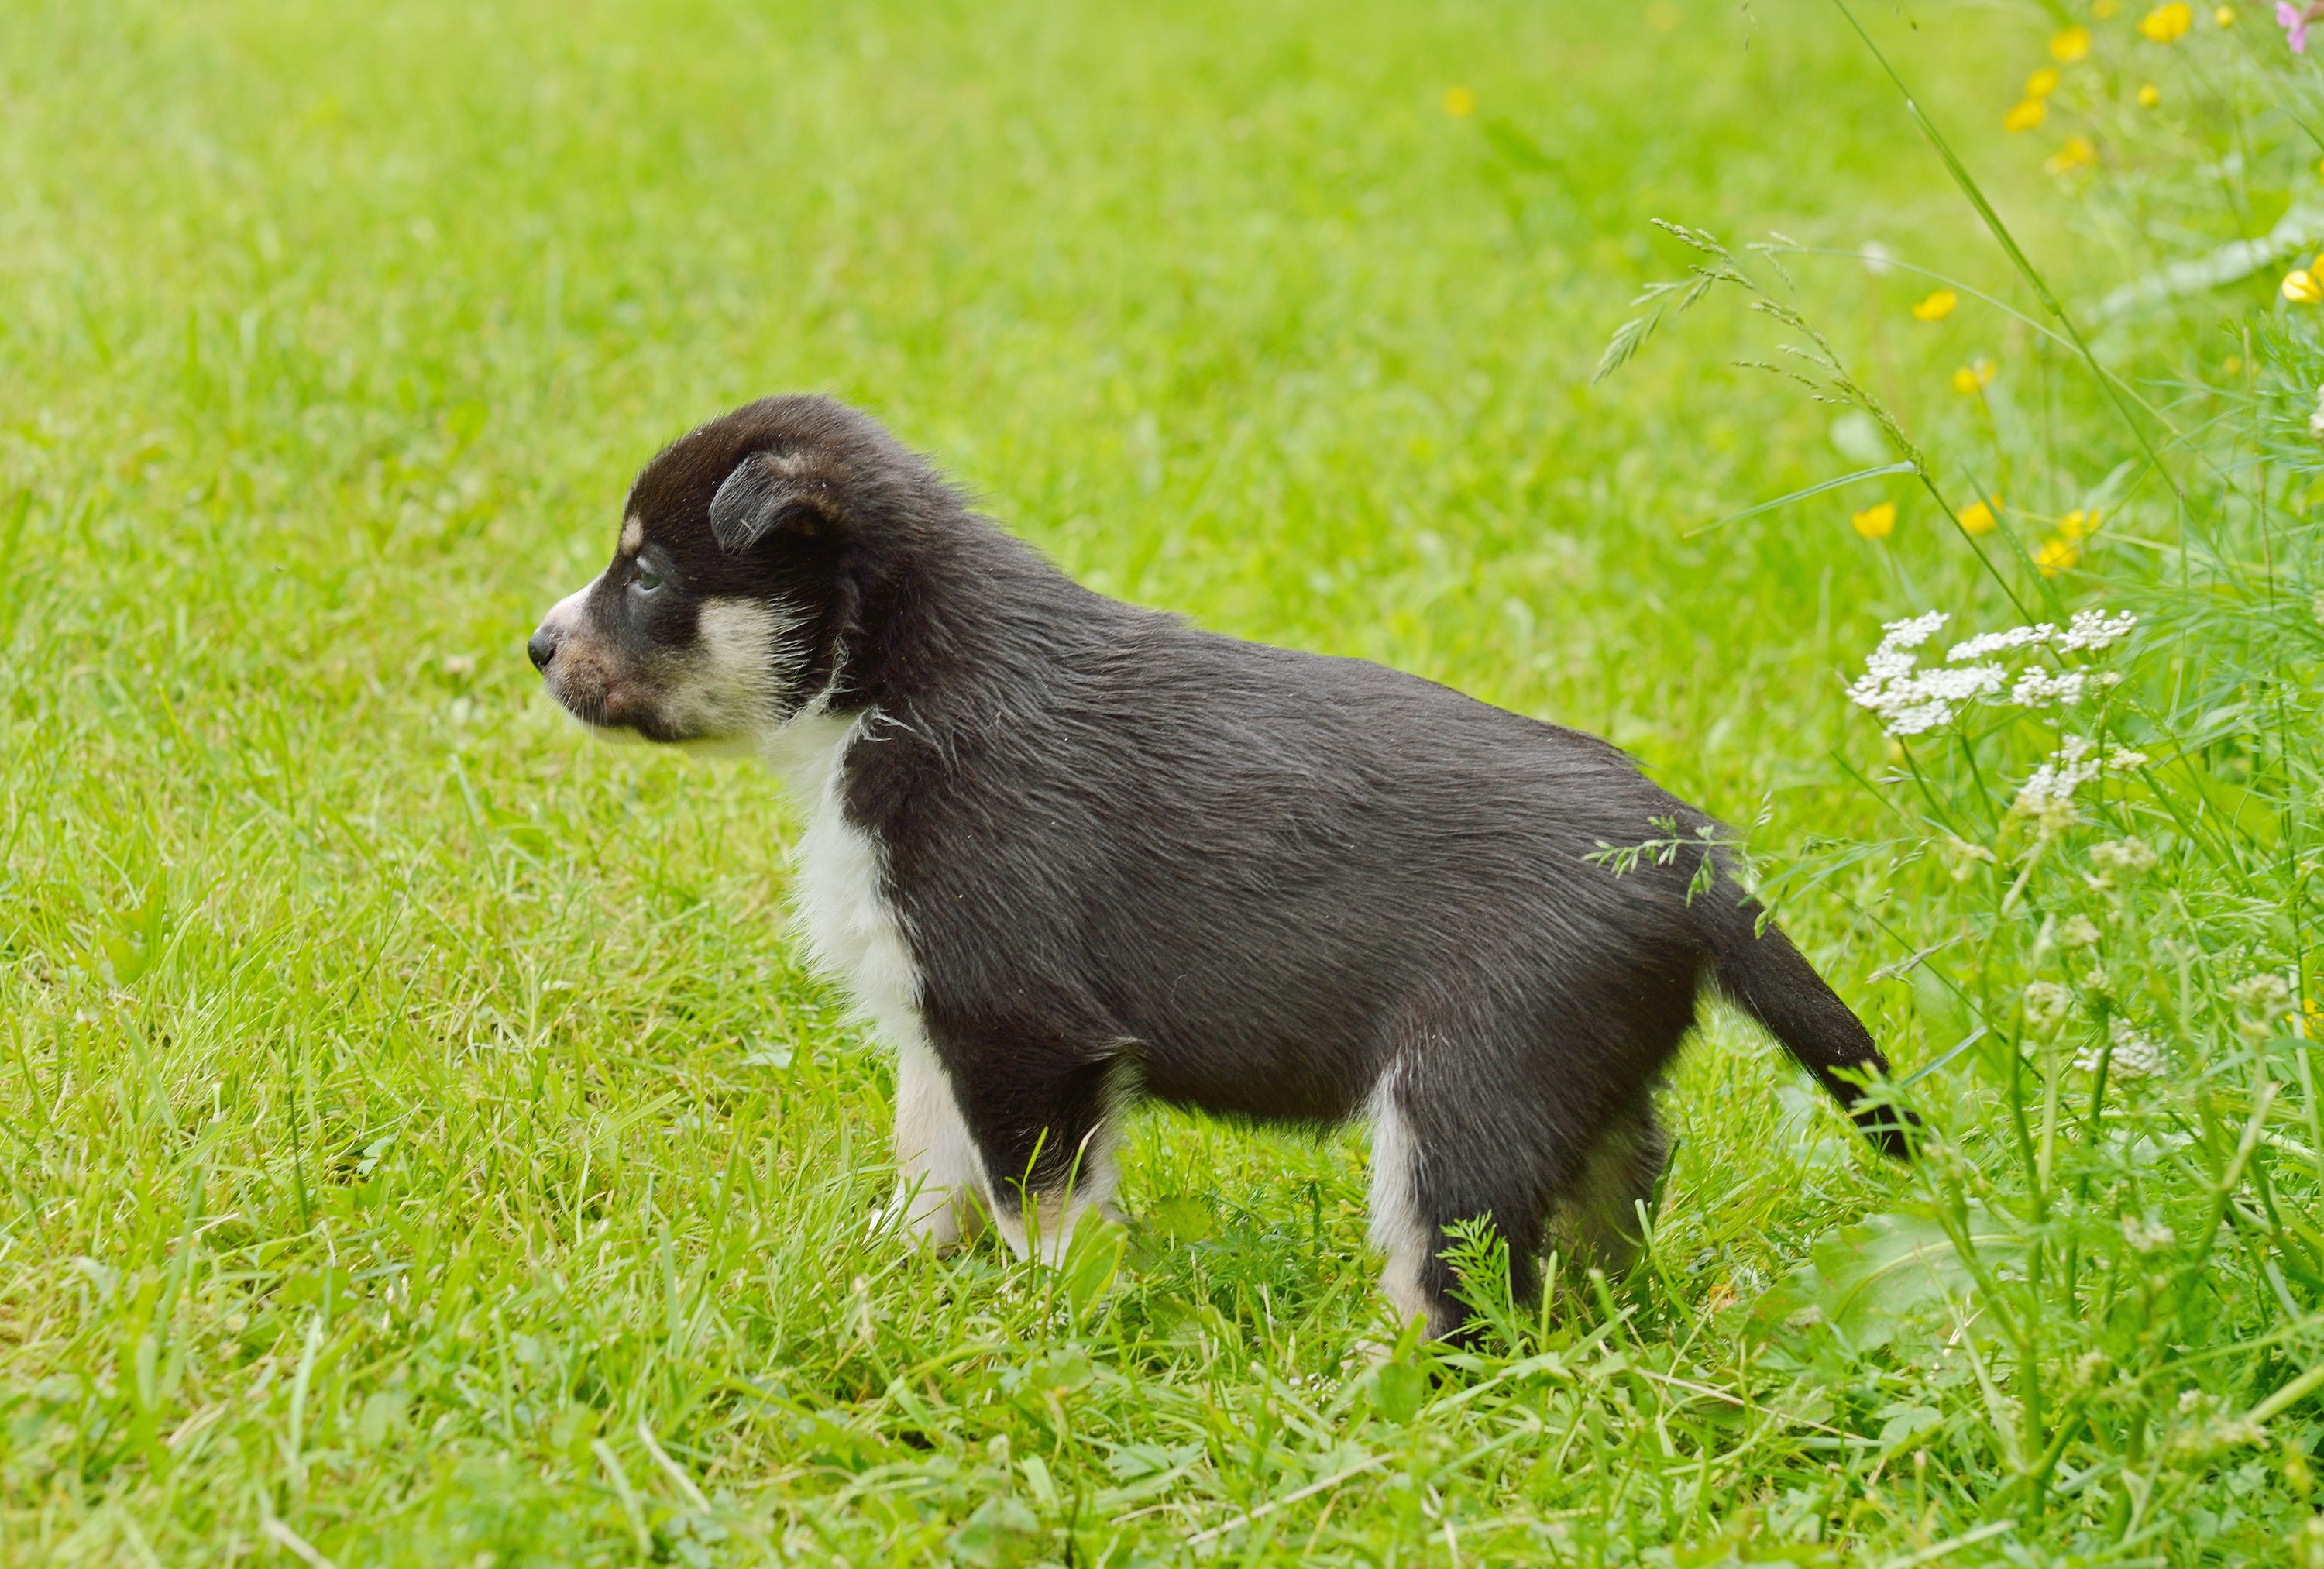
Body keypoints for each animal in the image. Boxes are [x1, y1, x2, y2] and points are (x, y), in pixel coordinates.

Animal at [535, 395, 1915, 1339]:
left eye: (646, 573)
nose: (536, 646)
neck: (890, 686)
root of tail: (1699, 859)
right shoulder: (938, 1013)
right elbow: (931, 1163)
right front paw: (890, 1270)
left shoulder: (1023, 1028)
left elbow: (1042, 1207)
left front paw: (1051, 1324)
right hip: (1581, 1083)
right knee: (1608, 1208)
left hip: (1466, 1084)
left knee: (1454, 1277)